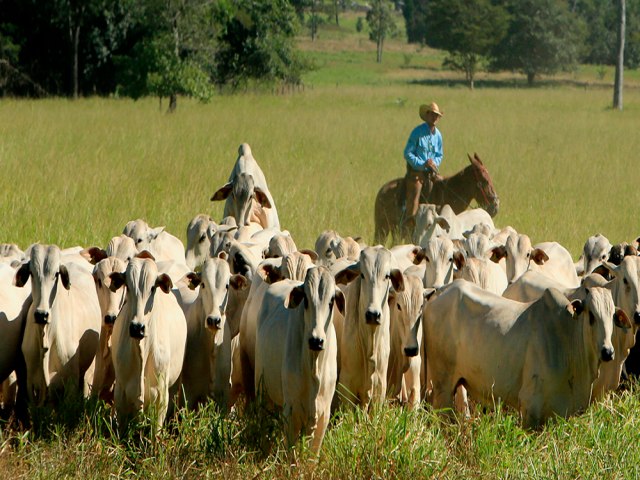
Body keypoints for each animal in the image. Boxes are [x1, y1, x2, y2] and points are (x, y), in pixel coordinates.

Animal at [17, 244, 101, 404]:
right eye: (31, 273)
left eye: (56, 274)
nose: (41, 314)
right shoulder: (31, 383)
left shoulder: (70, 384)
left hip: (89, 369)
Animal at [255, 266, 344, 454]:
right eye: (306, 300)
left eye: (331, 301)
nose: (316, 340)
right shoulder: (292, 411)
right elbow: (292, 453)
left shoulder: (323, 414)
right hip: (262, 391)